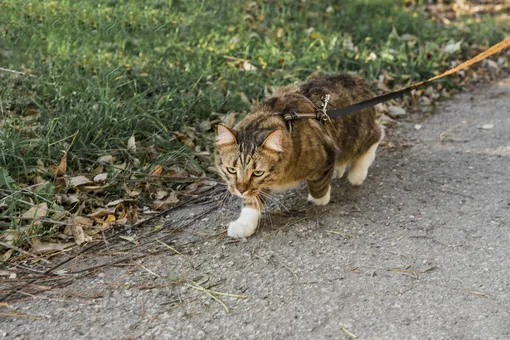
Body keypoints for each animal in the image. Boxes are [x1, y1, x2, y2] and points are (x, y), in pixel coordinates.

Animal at [213, 73, 384, 239]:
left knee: (378, 134)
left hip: (356, 136)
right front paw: (244, 223)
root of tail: (359, 80)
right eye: (231, 170)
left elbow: (319, 186)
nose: (240, 190)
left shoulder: (326, 152)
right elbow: (253, 199)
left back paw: (357, 172)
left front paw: (320, 199)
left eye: (257, 173)